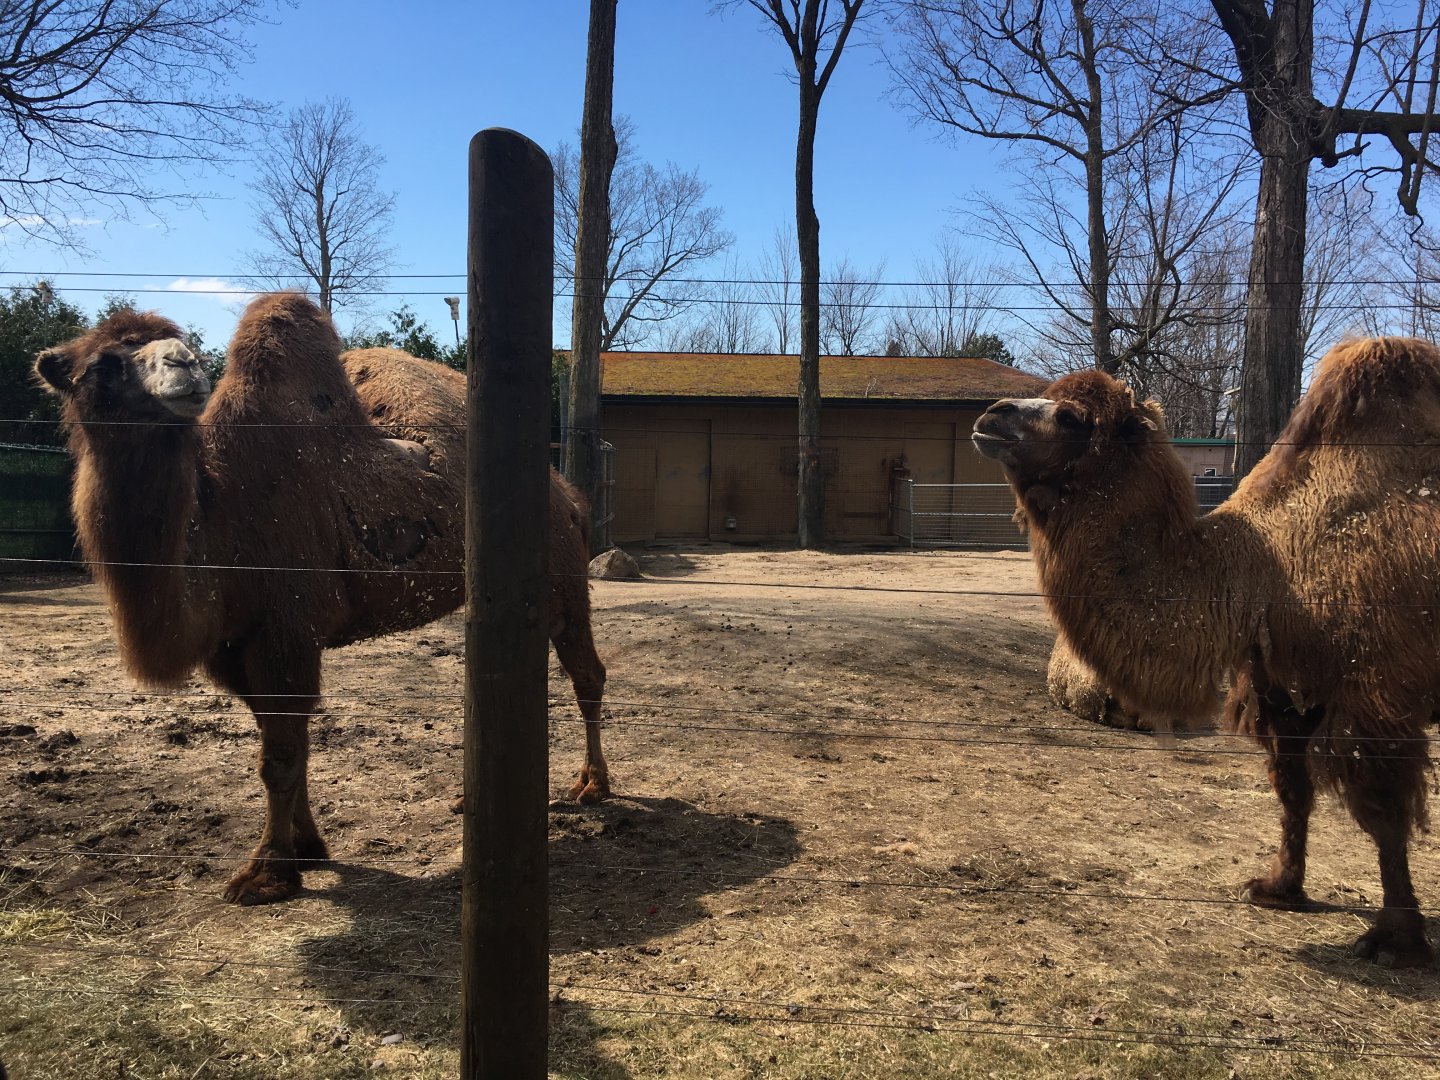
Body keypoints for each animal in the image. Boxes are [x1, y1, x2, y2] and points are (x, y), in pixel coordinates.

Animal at [35, 293, 610, 905]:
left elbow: (281, 755)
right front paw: (308, 847)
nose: (185, 364)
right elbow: (288, 741)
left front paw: (267, 872)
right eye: (102, 365)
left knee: (586, 673)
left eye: (180, 342)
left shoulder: (286, 630)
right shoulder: (233, 647)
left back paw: (592, 786)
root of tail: (570, 494)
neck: (222, 519)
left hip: (562, 581)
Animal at [973, 337, 1440, 966]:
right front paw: (1277, 888)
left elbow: (1384, 814)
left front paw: (1396, 938)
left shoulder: (1375, 693)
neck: (1265, 567)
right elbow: (1292, 788)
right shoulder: (1282, 687)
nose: (992, 414)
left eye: (1070, 417)